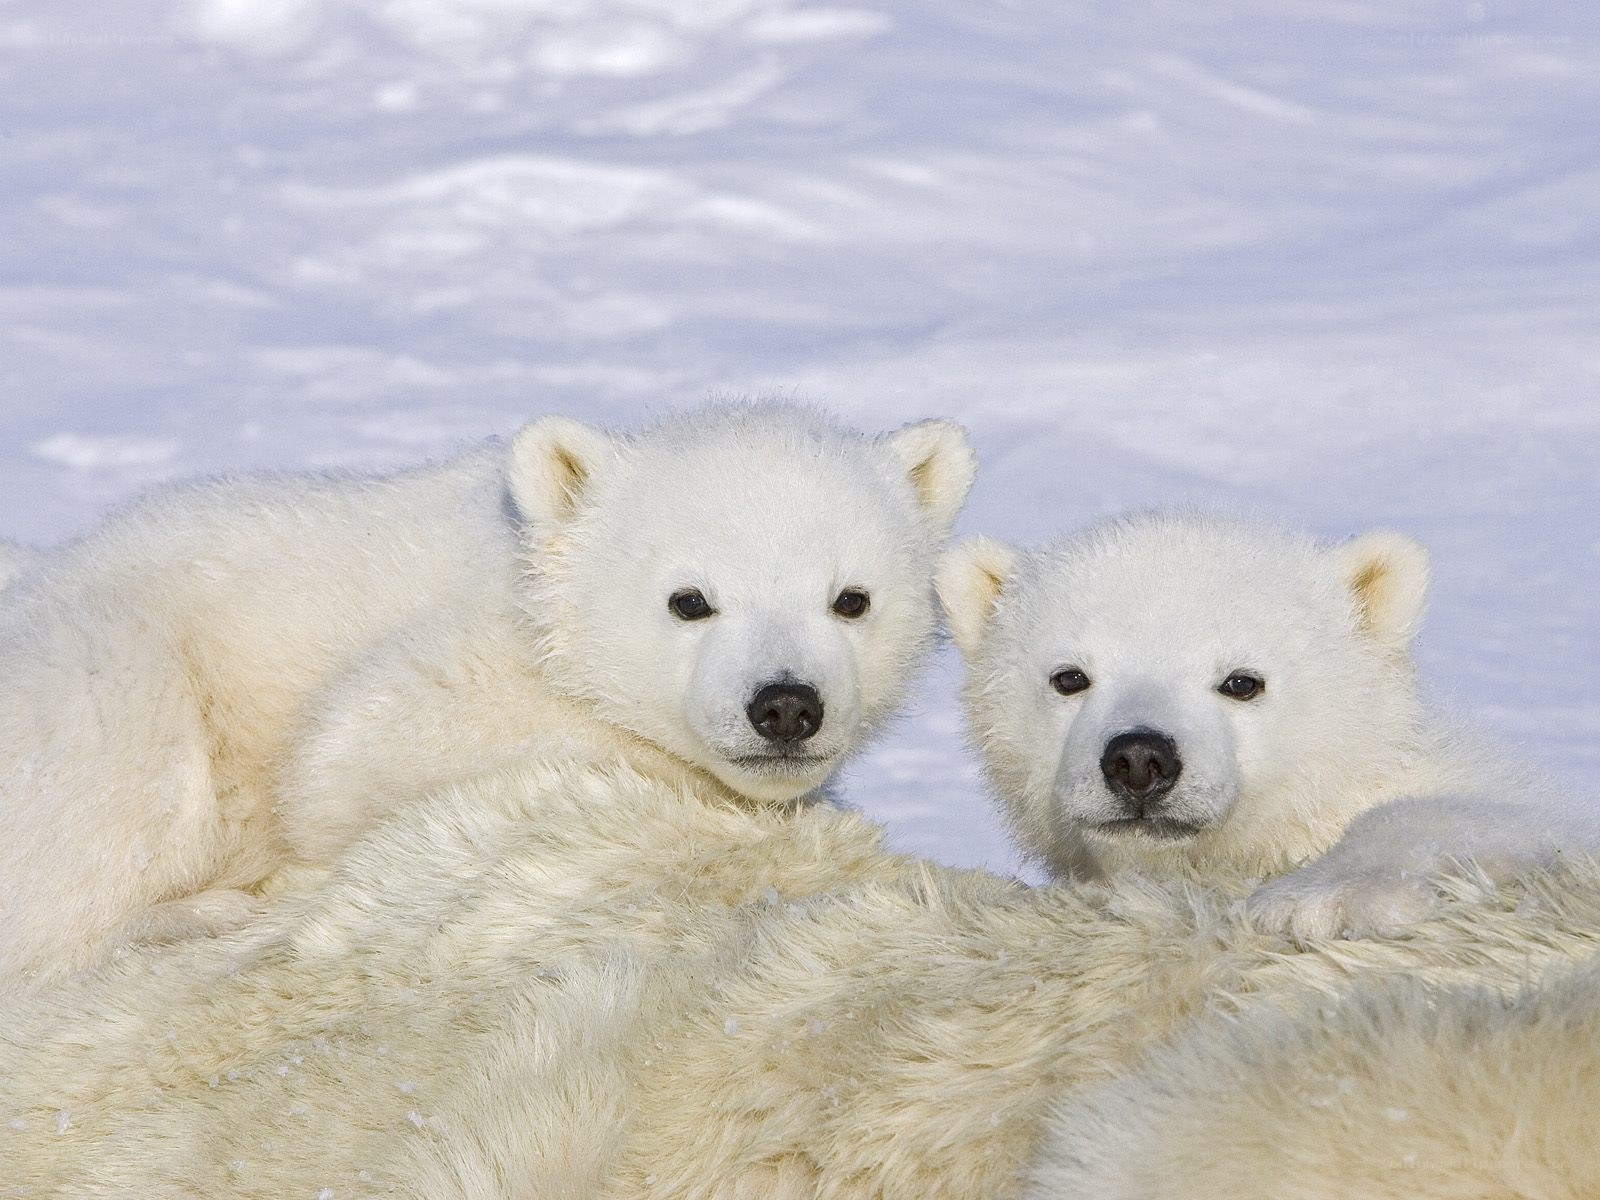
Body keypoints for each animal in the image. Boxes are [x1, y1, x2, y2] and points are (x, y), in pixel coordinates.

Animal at [0, 403, 976, 986]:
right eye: (689, 599)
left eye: (851, 598)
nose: (785, 706)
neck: (535, 578)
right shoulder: (453, 663)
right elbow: (351, 757)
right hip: (111, 665)